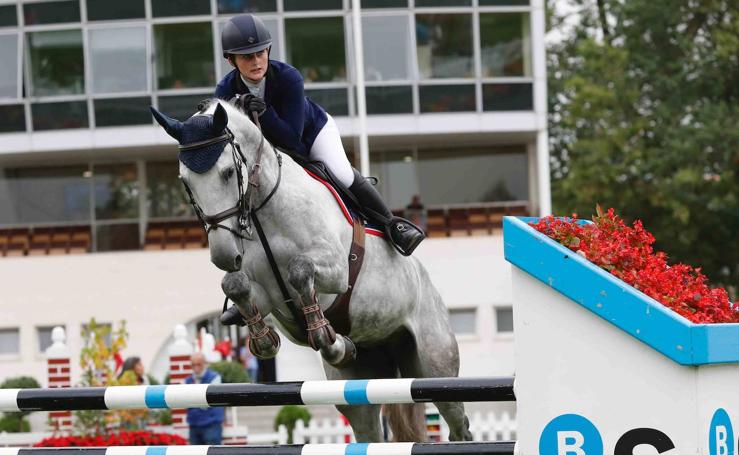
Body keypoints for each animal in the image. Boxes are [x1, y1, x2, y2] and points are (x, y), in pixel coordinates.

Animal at [150, 100, 474, 446]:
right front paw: (265, 340)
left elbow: (299, 269)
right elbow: (236, 285)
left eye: (227, 172)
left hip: (435, 365)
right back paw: (345, 348)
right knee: (368, 426)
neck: (264, 212)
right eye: (185, 182)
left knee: (459, 424)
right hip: (361, 386)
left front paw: (324, 334)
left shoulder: (336, 270)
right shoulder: (266, 295)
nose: (224, 255)